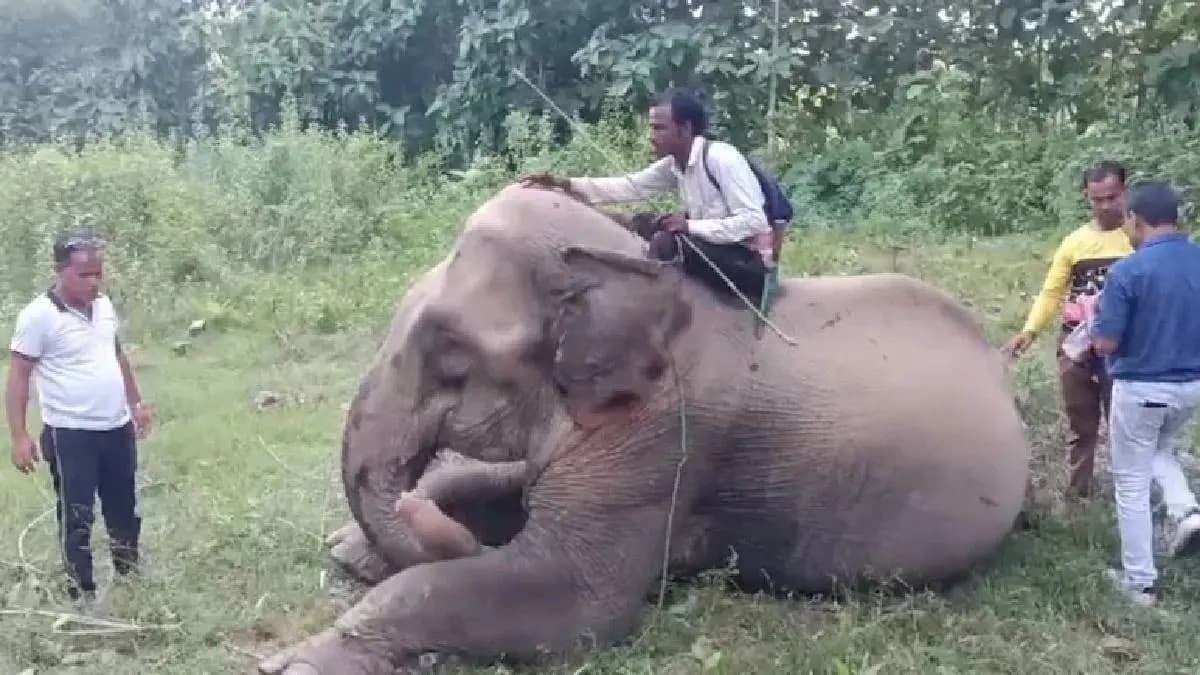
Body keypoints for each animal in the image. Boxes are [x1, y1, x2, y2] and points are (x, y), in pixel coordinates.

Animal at [259, 183, 1031, 674]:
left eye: (451, 354)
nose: (404, 514)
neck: (636, 273)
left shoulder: (666, 434)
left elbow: (575, 600)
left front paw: (295, 663)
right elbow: (504, 489)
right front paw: (350, 551)